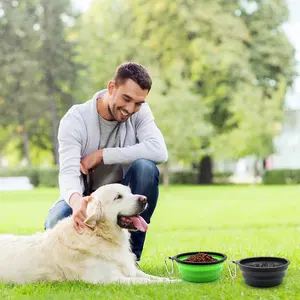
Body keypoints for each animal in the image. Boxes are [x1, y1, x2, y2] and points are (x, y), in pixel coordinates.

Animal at [0, 183, 178, 284]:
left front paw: (174, 279)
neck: (99, 234)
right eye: (118, 197)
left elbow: (153, 277)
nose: (144, 199)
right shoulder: (110, 279)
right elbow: (147, 282)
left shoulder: (131, 270)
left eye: (130, 192)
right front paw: (176, 283)